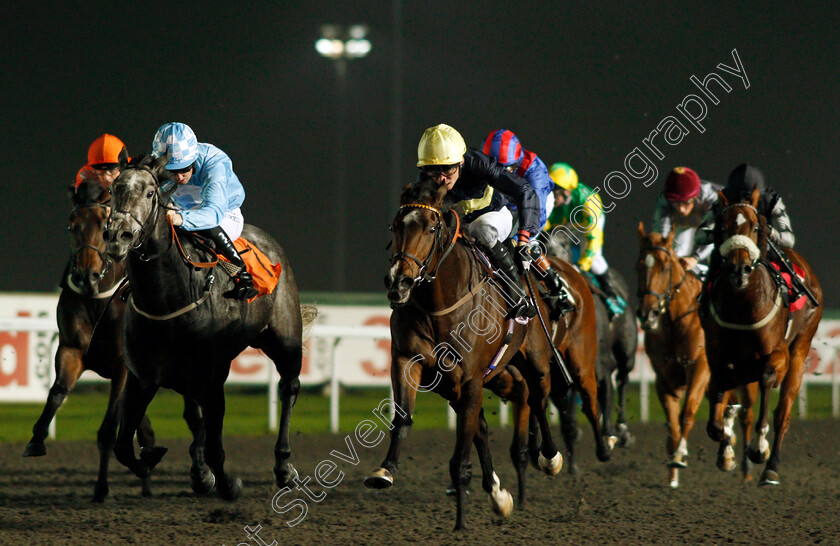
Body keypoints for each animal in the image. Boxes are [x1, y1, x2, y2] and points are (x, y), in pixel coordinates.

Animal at [22, 181, 209, 500]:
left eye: (103, 225)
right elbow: (58, 391)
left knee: (192, 416)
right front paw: (36, 438)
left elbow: (110, 428)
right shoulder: (71, 350)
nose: (86, 276)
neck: (98, 300)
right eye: (71, 225)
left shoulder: (123, 365)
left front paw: (101, 488)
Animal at [364, 180, 608, 528]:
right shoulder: (411, 362)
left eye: (432, 227)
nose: (399, 281)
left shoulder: (471, 379)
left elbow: (467, 454)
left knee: (566, 394)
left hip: (555, 358)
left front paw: (461, 523)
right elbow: (405, 417)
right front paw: (385, 470)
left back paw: (575, 452)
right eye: (395, 225)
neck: (440, 304)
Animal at [700, 188, 824, 484]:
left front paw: (759, 448)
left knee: (783, 412)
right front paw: (726, 449)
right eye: (722, 227)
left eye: (755, 227)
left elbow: (767, 379)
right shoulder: (719, 357)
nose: (739, 269)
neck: (744, 307)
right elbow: (716, 414)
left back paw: (771, 466)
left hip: (801, 347)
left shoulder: (777, 354)